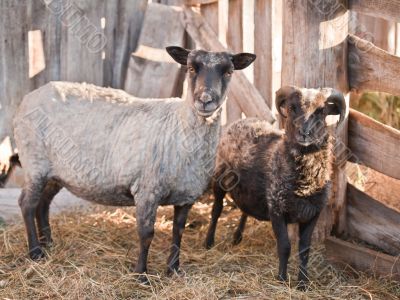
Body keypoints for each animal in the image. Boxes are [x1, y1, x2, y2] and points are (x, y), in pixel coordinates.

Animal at [14, 45, 256, 280]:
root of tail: (30, 97)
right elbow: (146, 233)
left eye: (229, 72)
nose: (205, 100)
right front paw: (141, 275)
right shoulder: (147, 190)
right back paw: (35, 252)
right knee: (27, 204)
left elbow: (178, 231)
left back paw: (48, 244)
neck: (179, 126)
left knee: (43, 204)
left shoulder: (186, 195)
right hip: (34, 163)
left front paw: (173, 270)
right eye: (190, 68)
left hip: (55, 173)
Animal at [205, 85, 346, 290]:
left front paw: (303, 283)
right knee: (216, 209)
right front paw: (281, 279)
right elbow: (285, 246)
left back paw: (237, 237)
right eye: (293, 108)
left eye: (321, 111)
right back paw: (208, 242)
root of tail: (243, 120)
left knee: (244, 209)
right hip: (219, 178)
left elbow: (305, 249)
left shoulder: (313, 213)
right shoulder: (277, 209)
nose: (305, 133)